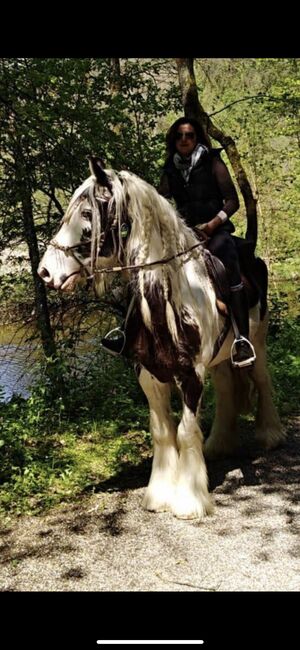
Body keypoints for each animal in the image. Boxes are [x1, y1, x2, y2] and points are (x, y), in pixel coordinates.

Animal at [38, 156, 284, 516]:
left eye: (87, 217)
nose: (45, 272)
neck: (168, 300)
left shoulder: (191, 375)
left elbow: (185, 431)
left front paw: (190, 499)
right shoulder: (148, 374)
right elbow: (162, 432)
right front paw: (159, 495)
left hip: (258, 342)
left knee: (263, 380)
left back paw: (270, 436)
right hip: (219, 359)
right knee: (227, 387)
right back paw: (218, 444)